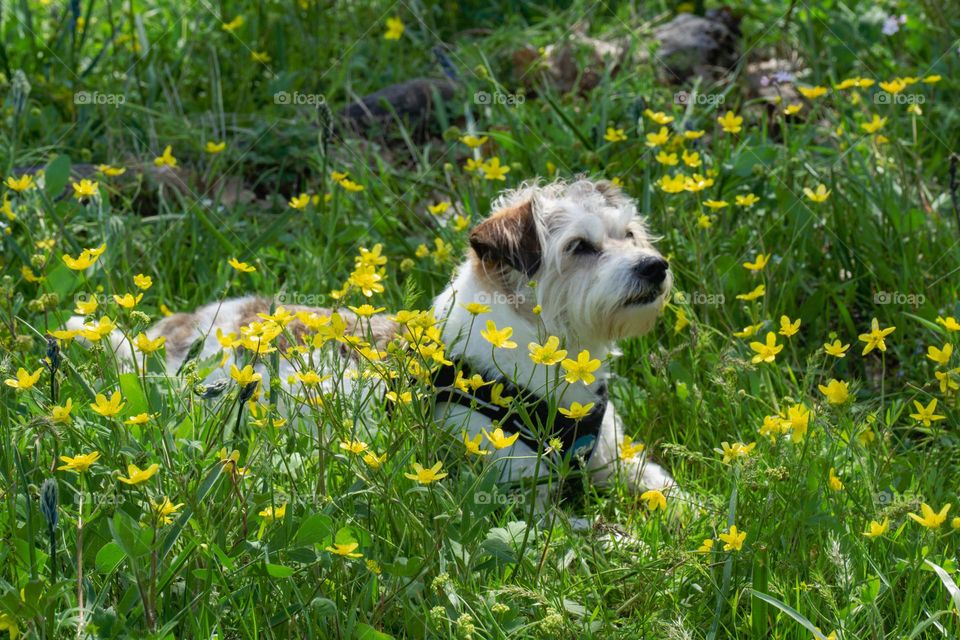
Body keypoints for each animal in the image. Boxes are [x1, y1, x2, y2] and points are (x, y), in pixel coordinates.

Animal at [86, 179, 680, 500]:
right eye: (580, 246)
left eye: (629, 234)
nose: (655, 266)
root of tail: (175, 331)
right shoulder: (519, 493)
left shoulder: (616, 461)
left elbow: (668, 492)